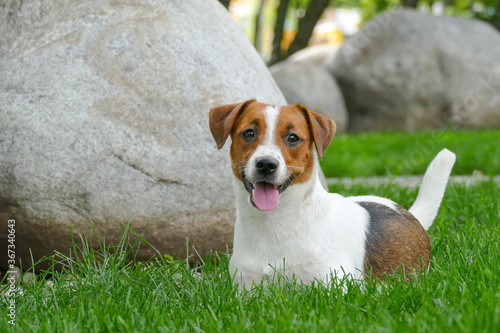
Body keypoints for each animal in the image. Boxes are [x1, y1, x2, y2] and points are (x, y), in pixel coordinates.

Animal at [208, 99, 458, 288]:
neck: (275, 223)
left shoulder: (335, 287)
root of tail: (409, 214)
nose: (266, 164)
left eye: (293, 138)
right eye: (249, 133)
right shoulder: (246, 289)